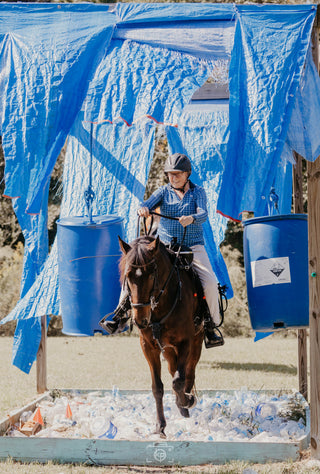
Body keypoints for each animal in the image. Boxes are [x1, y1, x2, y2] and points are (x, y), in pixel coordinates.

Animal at [119, 235, 204, 438]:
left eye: (151, 274)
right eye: (128, 275)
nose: (140, 320)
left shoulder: (186, 342)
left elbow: (179, 380)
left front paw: (186, 401)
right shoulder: (149, 347)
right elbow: (157, 387)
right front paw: (160, 426)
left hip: (196, 341)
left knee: (189, 372)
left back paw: (186, 402)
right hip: (167, 349)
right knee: (174, 369)